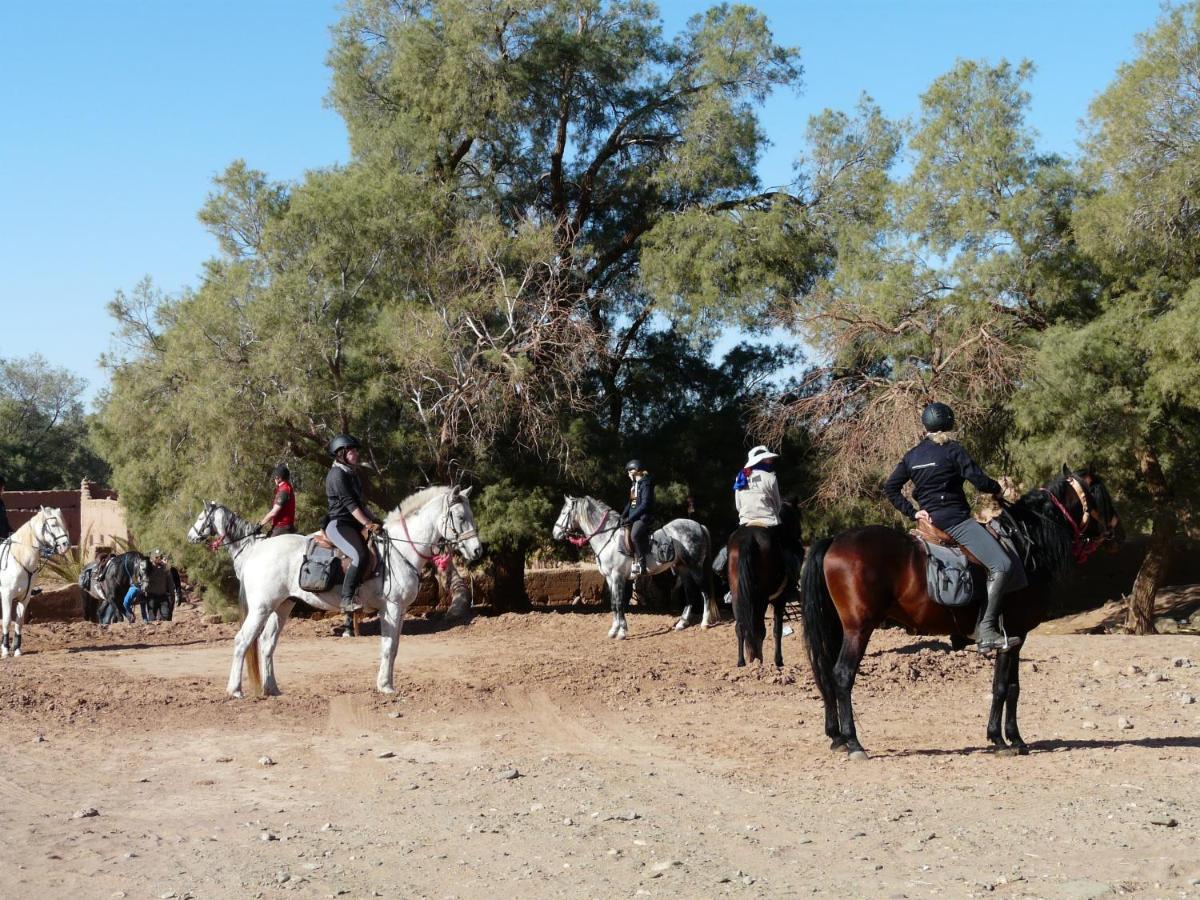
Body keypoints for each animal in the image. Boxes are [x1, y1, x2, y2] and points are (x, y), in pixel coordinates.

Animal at [0, 511, 70, 657]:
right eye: (53, 525)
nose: (65, 545)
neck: (20, 560)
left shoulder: (25, 597)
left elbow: (19, 622)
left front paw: (17, 649)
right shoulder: (6, 596)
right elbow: (7, 621)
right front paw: (5, 650)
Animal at [187, 489, 482, 700]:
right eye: (460, 517)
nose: (478, 550)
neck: (401, 549)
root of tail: (257, 551)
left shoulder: (397, 611)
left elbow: (394, 647)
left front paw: (386, 683)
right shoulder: (392, 607)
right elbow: (389, 647)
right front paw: (386, 686)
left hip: (281, 607)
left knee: (266, 644)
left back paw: (272, 689)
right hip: (262, 607)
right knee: (242, 641)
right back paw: (235, 690)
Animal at [549, 494, 710, 643]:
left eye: (564, 512)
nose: (555, 533)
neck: (608, 538)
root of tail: (699, 526)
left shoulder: (617, 577)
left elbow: (620, 603)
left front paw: (622, 632)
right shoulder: (609, 578)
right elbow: (614, 603)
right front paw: (613, 630)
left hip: (695, 568)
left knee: (705, 592)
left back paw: (705, 623)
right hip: (683, 569)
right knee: (689, 593)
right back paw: (682, 623)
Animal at [801, 465, 1118, 763]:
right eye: (1100, 492)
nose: (1116, 528)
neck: (1025, 544)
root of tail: (835, 540)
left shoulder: (1016, 638)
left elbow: (1013, 687)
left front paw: (1016, 739)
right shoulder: (1011, 635)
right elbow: (1001, 686)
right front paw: (1000, 740)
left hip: (841, 628)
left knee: (827, 673)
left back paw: (837, 738)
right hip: (859, 629)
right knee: (842, 675)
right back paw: (854, 742)